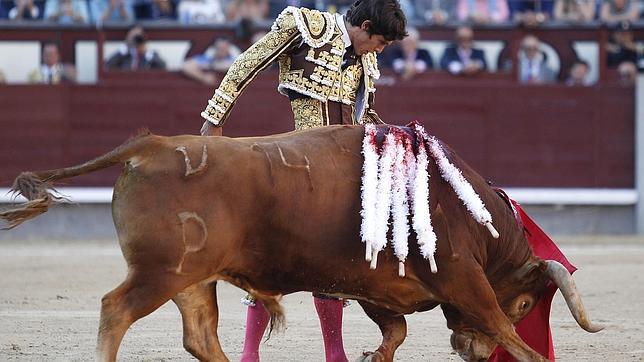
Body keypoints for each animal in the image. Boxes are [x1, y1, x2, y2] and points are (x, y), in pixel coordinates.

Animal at [1, 125, 604, 362]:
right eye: (526, 303)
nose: (467, 351)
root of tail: (152, 144)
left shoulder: (374, 285)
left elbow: (397, 329)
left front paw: (372, 355)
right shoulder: (463, 277)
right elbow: (502, 327)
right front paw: (528, 353)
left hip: (191, 277)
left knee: (200, 334)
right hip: (160, 272)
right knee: (116, 309)